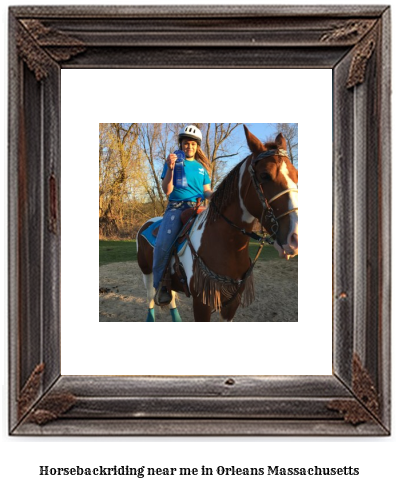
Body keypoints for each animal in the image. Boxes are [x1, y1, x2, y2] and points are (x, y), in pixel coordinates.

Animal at [137, 125, 296, 320]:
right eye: (265, 175)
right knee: (151, 297)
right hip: (147, 272)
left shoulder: (231, 303)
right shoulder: (201, 303)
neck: (225, 244)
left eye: (296, 175)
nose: (294, 238)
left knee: (170, 296)